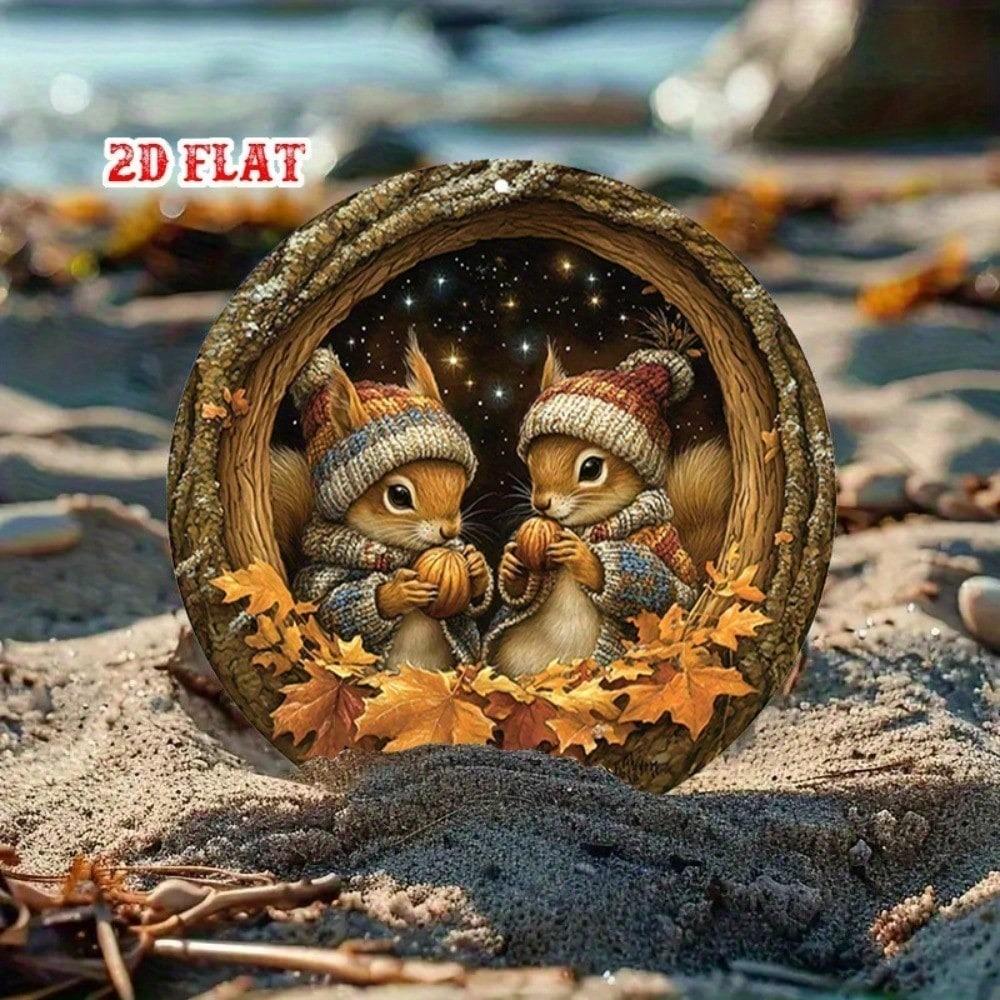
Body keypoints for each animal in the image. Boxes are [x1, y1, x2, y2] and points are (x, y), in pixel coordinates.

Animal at [271, 335, 492, 671]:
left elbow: (471, 607)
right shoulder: (321, 577)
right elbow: (331, 606)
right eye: (399, 496)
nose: (450, 531)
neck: (401, 553)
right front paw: (396, 593)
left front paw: (477, 566)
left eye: (460, 485)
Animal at [484, 329, 732, 679]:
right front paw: (512, 563)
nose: (541, 503)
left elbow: (675, 592)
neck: (585, 525)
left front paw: (586, 559)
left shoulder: (661, 540)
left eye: (591, 469)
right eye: (531, 461)